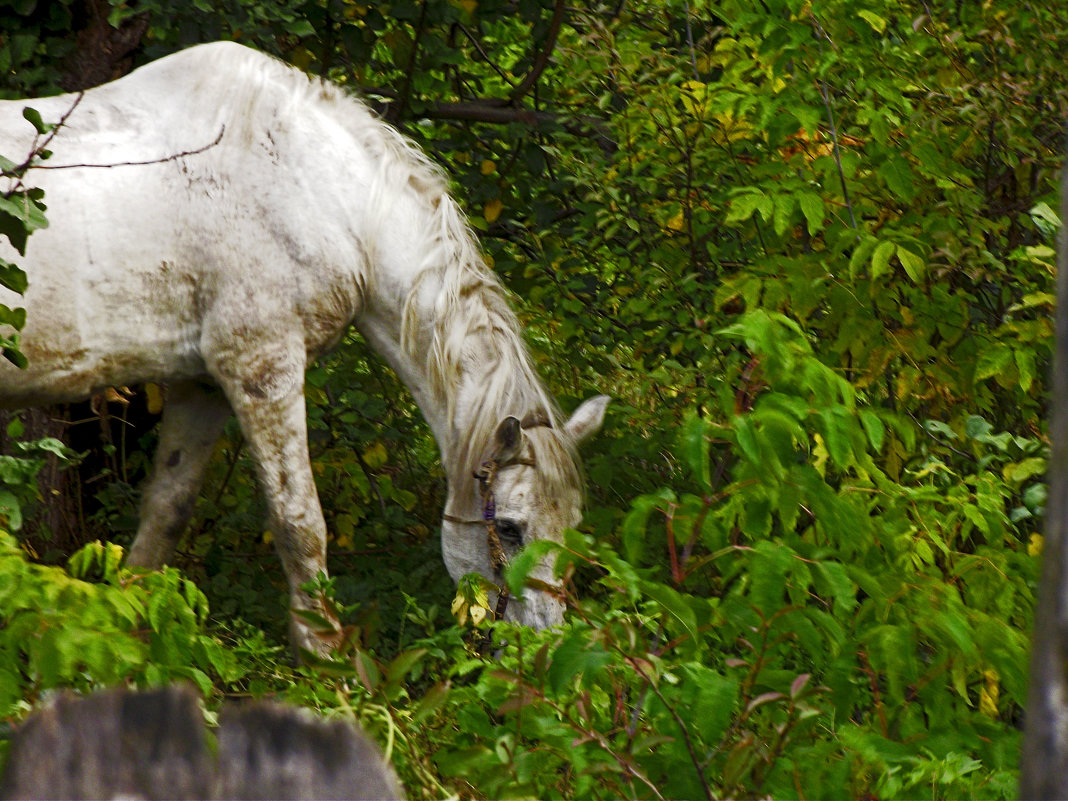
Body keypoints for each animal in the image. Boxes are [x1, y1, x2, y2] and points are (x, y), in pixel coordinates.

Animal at [0, 40, 606, 653]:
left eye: (573, 526)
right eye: (509, 527)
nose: (545, 642)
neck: (321, 195)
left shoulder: (202, 386)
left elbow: (167, 509)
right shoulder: (261, 369)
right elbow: (299, 522)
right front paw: (326, 655)